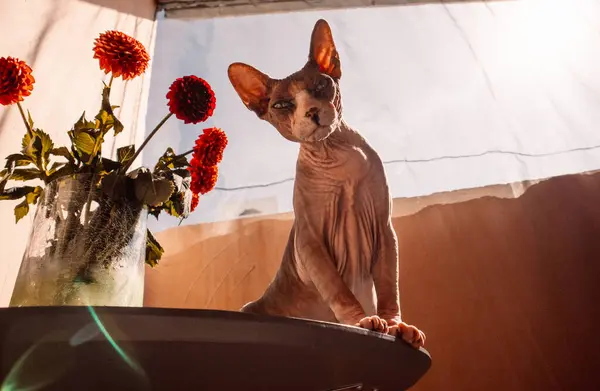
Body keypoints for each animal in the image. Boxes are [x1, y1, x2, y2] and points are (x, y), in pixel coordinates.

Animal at [227, 19, 424, 350]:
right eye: (282, 104)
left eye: (321, 86)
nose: (312, 112)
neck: (337, 157)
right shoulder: (310, 241)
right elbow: (338, 290)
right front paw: (361, 321)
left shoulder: (385, 230)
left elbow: (389, 289)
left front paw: (397, 326)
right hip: (249, 307)